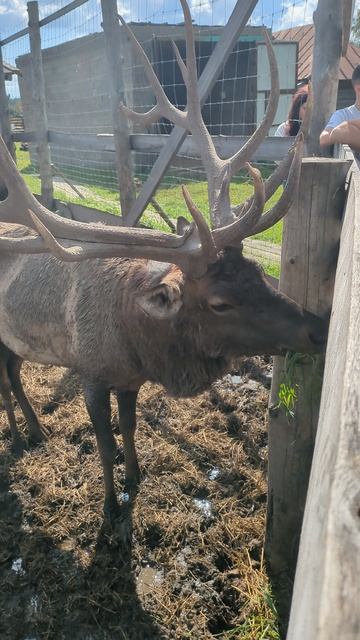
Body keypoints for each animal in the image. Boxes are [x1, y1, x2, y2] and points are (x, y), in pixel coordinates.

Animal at [0, 1, 326, 520]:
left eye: (259, 274)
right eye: (219, 303)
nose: (317, 328)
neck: (138, 343)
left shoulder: (129, 380)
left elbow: (130, 430)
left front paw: (136, 478)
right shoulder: (91, 372)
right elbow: (104, 444)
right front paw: (111, 510)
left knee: (12, 374)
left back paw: (34, 429)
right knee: (4, 381)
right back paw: (15, 435)